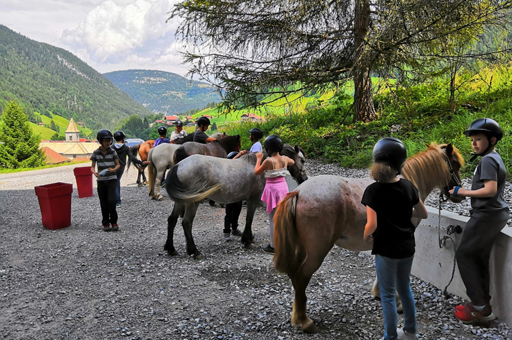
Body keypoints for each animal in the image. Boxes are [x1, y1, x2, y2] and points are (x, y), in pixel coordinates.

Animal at [274, 143, 466, 332]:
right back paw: (304, 321)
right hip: (316, 252)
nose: (459, 194)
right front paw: (397, 301)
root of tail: (298, 192)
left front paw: (380, 292)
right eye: (455, 164)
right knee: (301, 277)